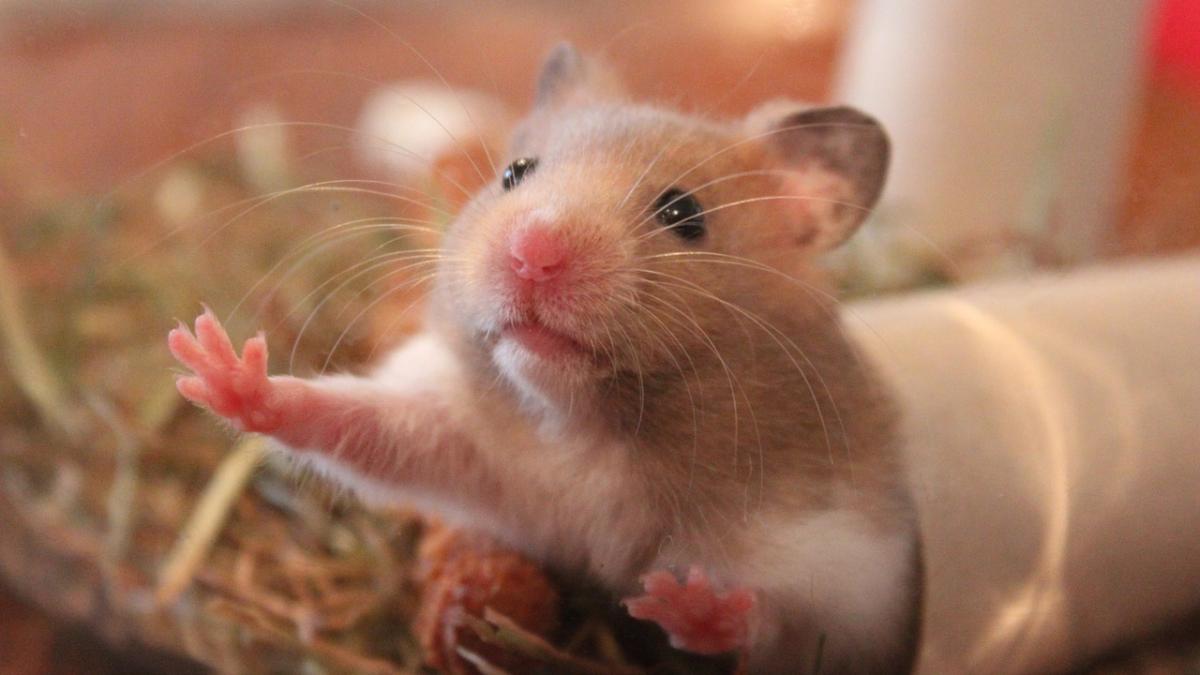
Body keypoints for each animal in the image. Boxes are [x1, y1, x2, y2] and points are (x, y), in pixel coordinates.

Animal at [168, 43, 921, 674]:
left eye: (683, 213)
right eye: (514, 173)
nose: (533, 251)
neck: (584, 424)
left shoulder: (846, 562)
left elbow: (780, 615)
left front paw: (683, 602)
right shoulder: (462, 439)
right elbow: (352, 420)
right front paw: (216, 366)